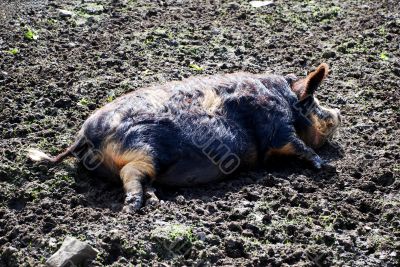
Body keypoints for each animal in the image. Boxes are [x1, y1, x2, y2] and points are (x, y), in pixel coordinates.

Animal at [28, 63, 340, 214]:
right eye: (314, 102)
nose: (338, 113)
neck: (285, 101)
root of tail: (84, 136)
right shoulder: (276, 126)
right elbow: (297, 144)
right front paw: (324, 166)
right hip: (145, 148)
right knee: (131, 174)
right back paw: (133, 208)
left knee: (141, 179)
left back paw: (155, 201)